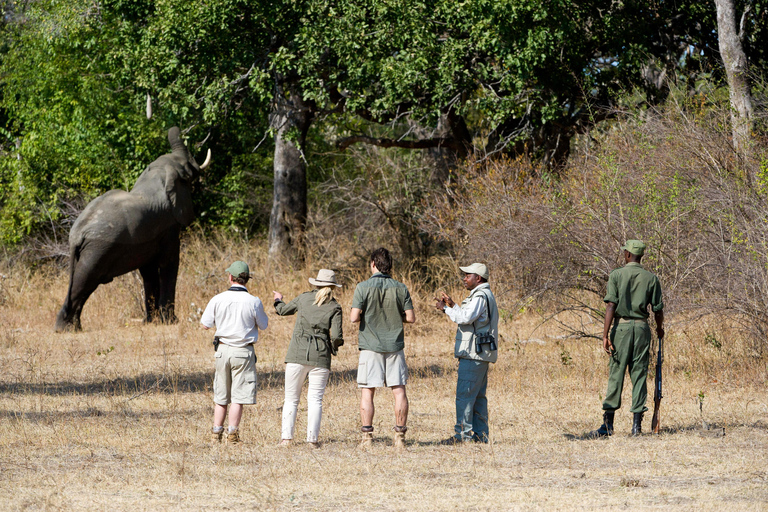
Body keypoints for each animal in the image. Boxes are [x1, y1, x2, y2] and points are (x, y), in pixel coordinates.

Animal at [54, 128, 212, 332]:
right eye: (187, 168)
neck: (157, 176)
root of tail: (76, 235)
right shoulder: (168, 227)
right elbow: (169, 262)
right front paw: (170, 321)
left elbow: (148, 271)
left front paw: (152, 321)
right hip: (97, 249)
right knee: (85, 281)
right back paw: (66, 329)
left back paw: (72, 327)